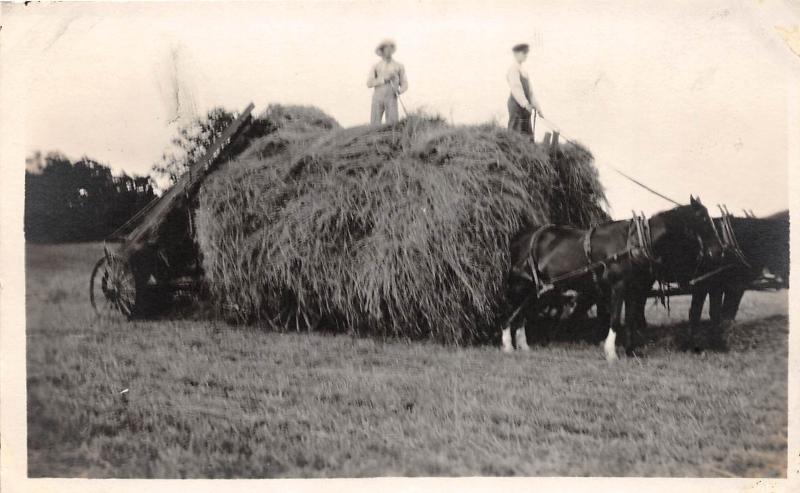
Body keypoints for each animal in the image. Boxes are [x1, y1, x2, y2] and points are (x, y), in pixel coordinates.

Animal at [504, 194, 720, 360]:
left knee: (523, 312)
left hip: (543, 288)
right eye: (703, 219)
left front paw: (631, 351)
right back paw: (507, 343)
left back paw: (523, 346)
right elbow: (615, 319)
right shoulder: (618, 286)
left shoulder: (634, 289)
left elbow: (630, 319)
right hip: (524, 285)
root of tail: (522, 238)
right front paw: (611, 352)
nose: (717, 251)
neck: (635, 243)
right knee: (513, 310)